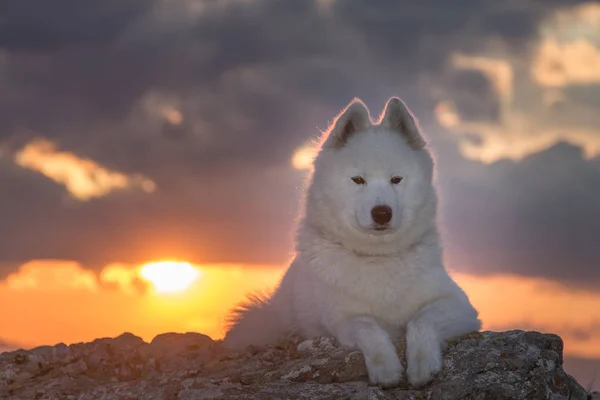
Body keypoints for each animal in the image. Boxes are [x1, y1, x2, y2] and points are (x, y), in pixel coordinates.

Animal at [223, 97, 480, 388]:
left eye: (396, 179)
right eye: (358, 180)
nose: (382, 213)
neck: (377, 258)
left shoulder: (460, 305)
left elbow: (421, 320)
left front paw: (423, 364)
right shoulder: (342, 319)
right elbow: (368, 327)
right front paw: (386, 369)